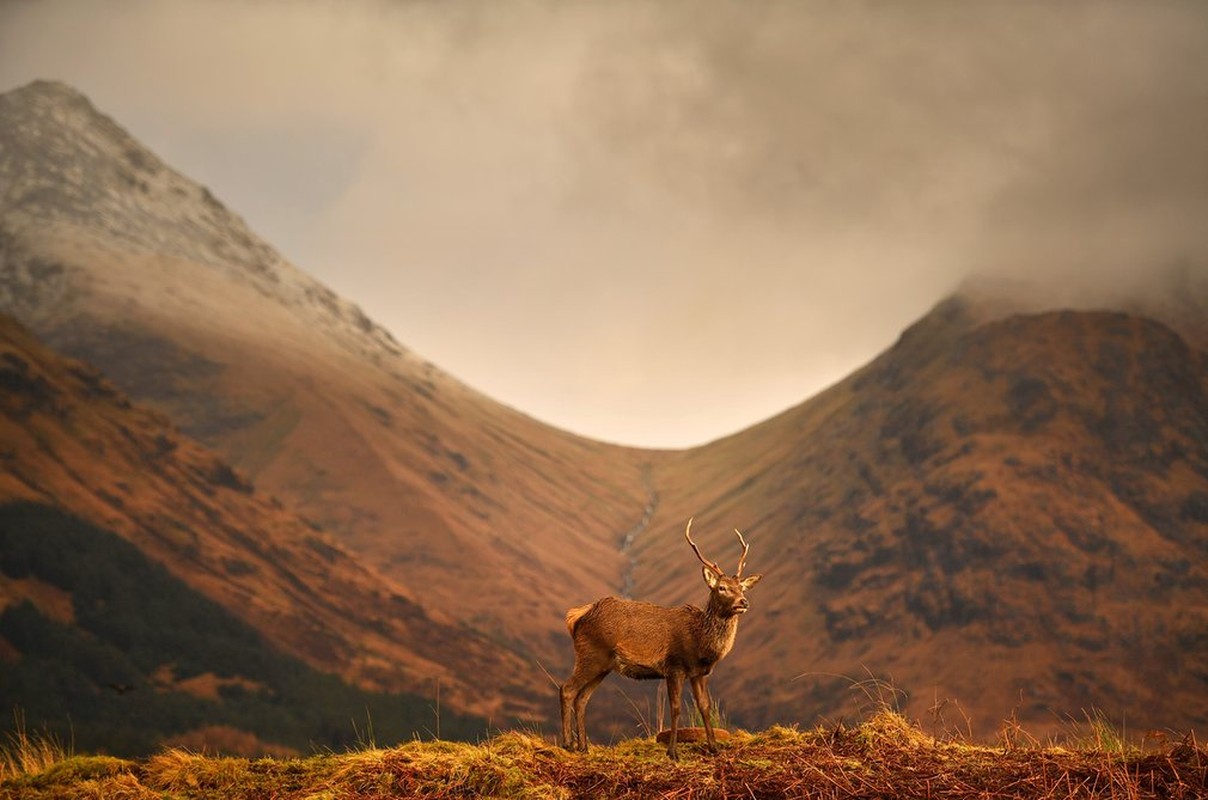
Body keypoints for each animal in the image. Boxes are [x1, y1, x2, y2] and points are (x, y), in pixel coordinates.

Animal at [558, 517, 763, 763]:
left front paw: (714, 748)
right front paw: (673, 752)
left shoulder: (699, 673)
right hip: (590, 655)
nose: (743, 602)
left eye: (742, 588)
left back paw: (583, 747)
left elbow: (704, 707)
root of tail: (577, 615)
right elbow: (675, 708)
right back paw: (568, 744)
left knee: (582, 698)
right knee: (567, 689)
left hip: (603, 665)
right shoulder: (674, 666)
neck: (700, 643)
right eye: (722, 588)